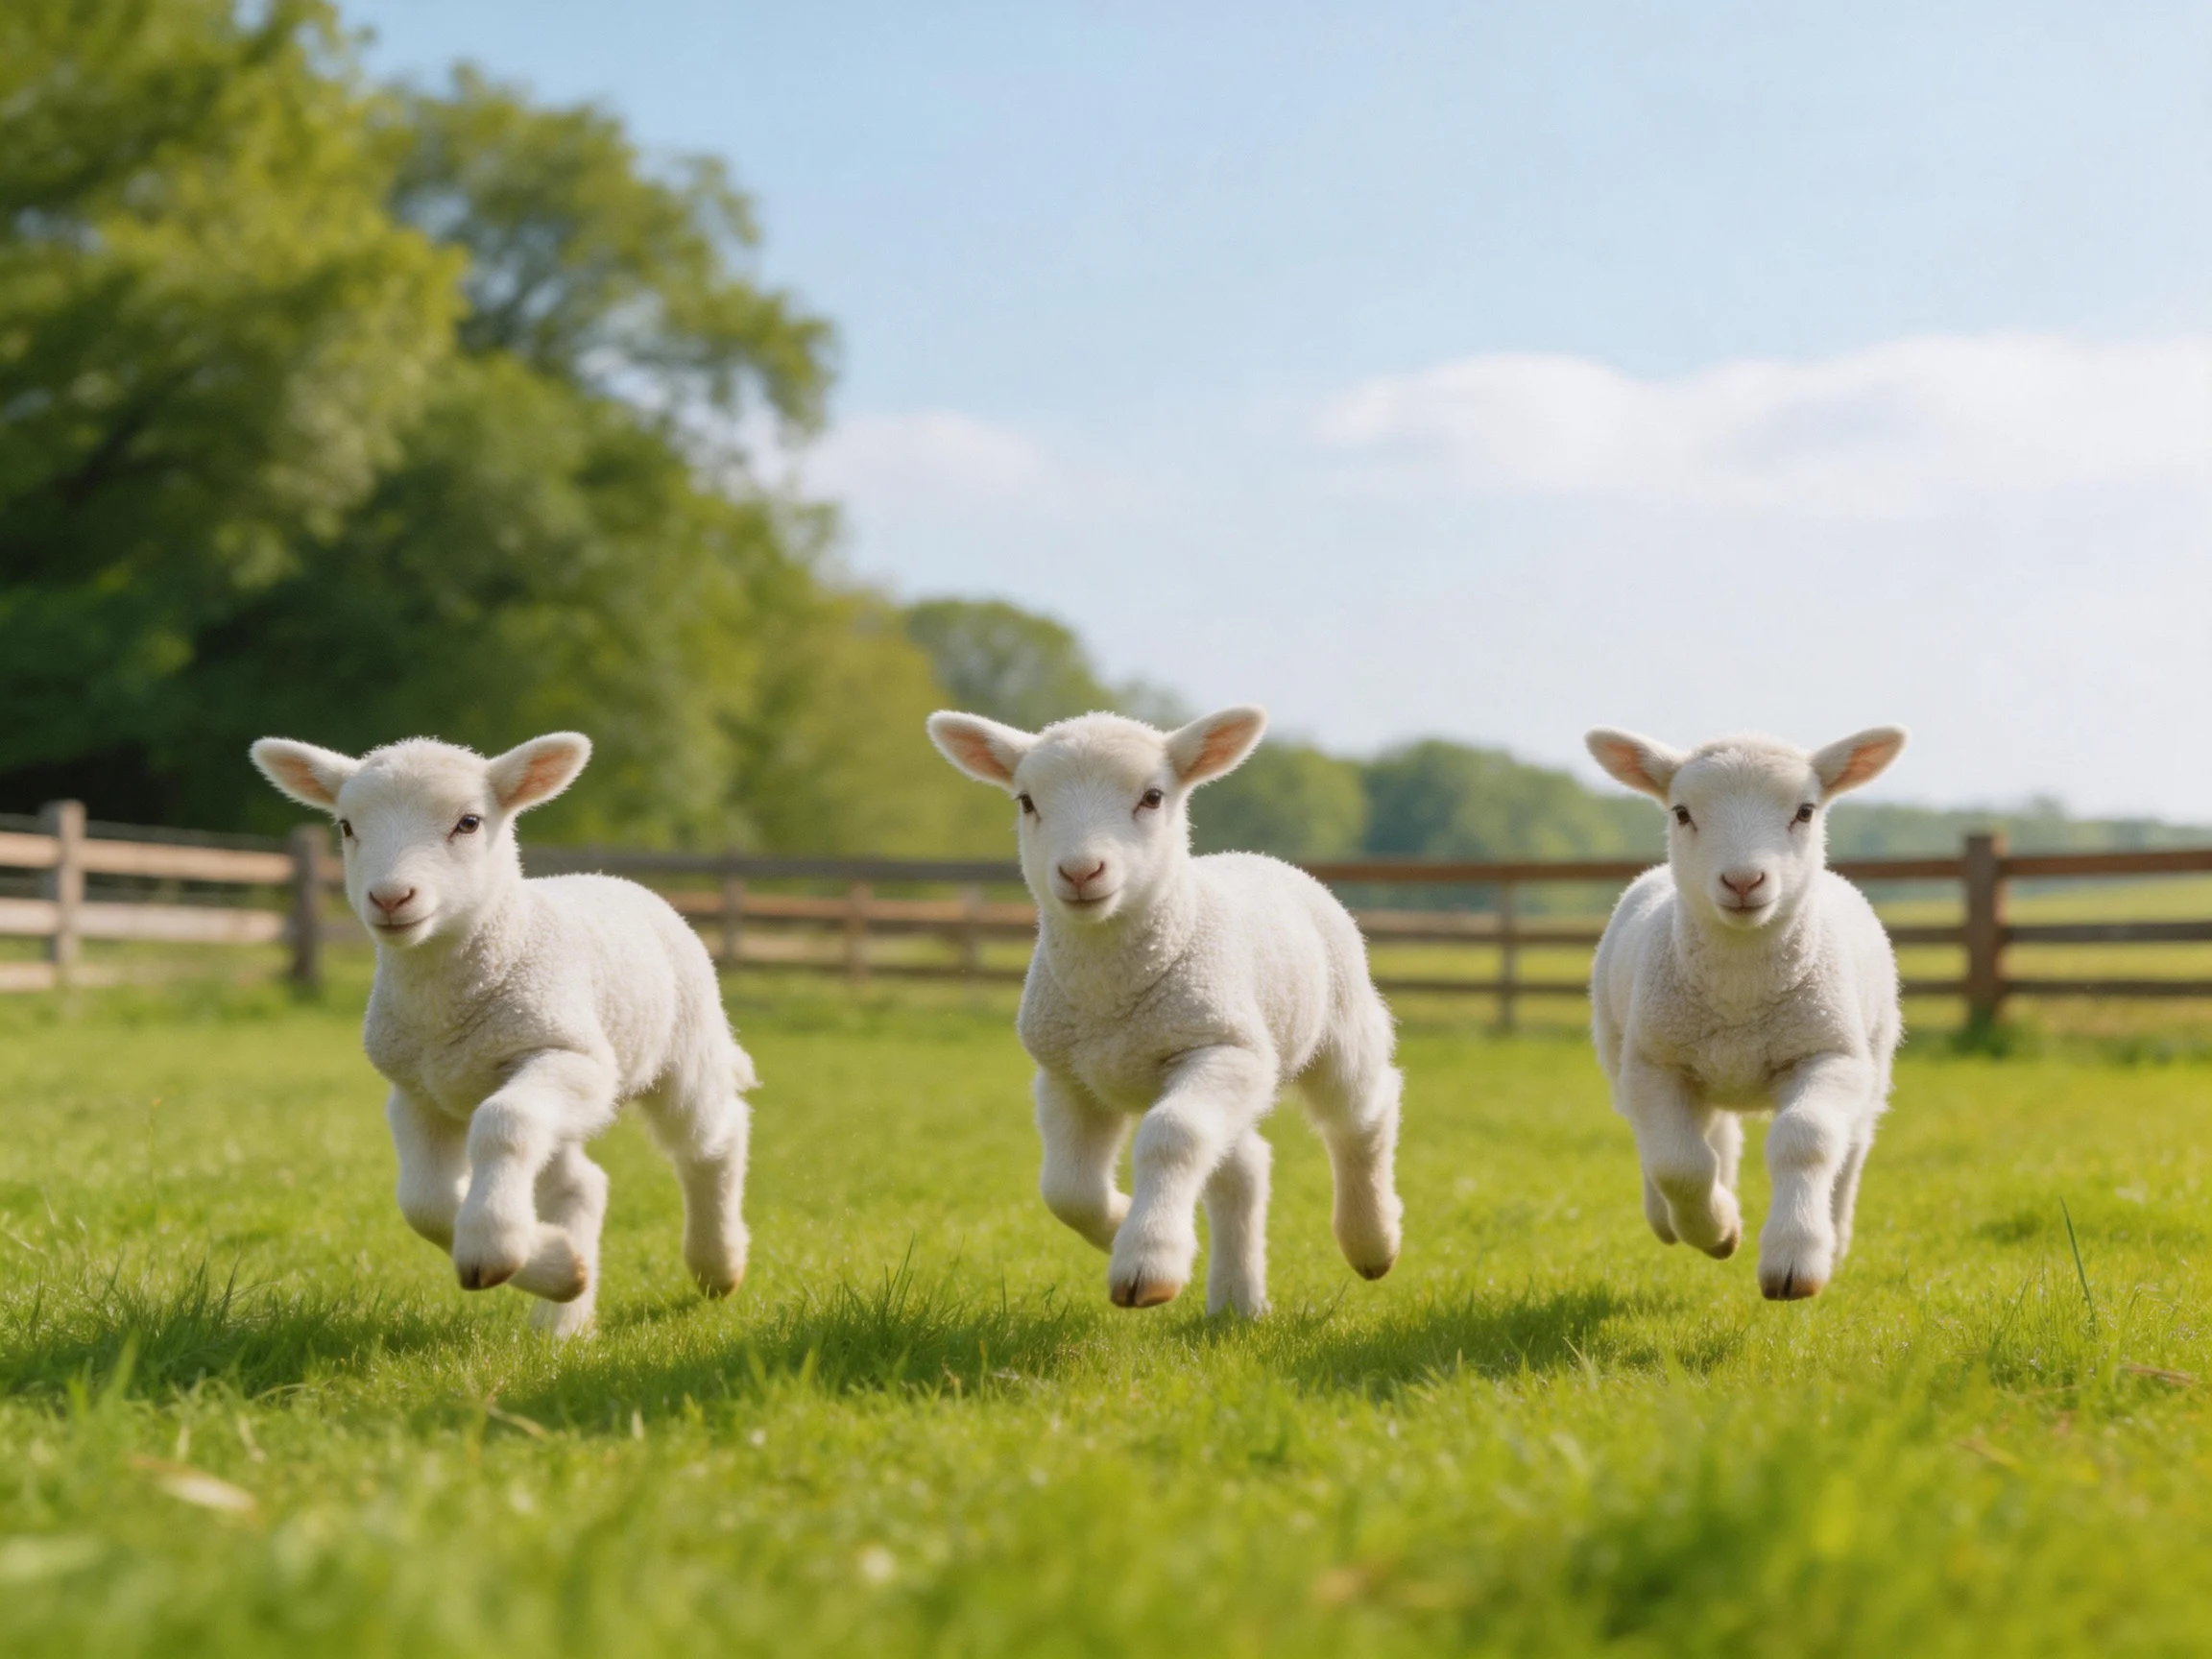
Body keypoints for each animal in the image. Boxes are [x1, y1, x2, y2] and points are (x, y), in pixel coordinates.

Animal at [250, 732, 754, 1338]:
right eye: (347, 826)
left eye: (469, 822)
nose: (391, 898)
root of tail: (615, 880)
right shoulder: (417, 1093)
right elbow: (423, 1203)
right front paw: (550, 1262)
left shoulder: (573, 1056)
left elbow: (501, 1122)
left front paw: (491, 1244)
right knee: (579, 1183)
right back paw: (563, 1315)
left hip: (684, 1048)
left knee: (712, 1140)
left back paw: (718, 1265)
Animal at [925, 705, 1404, 1317]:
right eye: (1026, 801)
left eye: (1153, 797)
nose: (1080, 872)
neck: (1109, 999)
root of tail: (1258, 857)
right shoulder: (1067, 1075)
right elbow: (1067, 1189)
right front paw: (1119, 1227)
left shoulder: (1223, 1046)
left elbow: (1170, 1135)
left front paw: (1145, 1263)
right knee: (1243, 1168)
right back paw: (1237, 1302)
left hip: (1339, 1025)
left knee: (1362, 1115)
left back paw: (1372, 1241)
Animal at [1584, 725, 1908, 1300]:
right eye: (1681, 812)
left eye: (1805, 810)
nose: (1742, 881)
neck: (1740, 990)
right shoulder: (1656, 1064)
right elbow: (1678, 1164)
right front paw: (1717, 1230)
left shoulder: (1829, 1054)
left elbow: (1805, 1140)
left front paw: (1795, 1257)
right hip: (1628, 1047)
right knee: (1681, 1139)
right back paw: (1672, 1218)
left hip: (1873, 1053)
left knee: (1851, 1143)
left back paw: (1834, 1233)